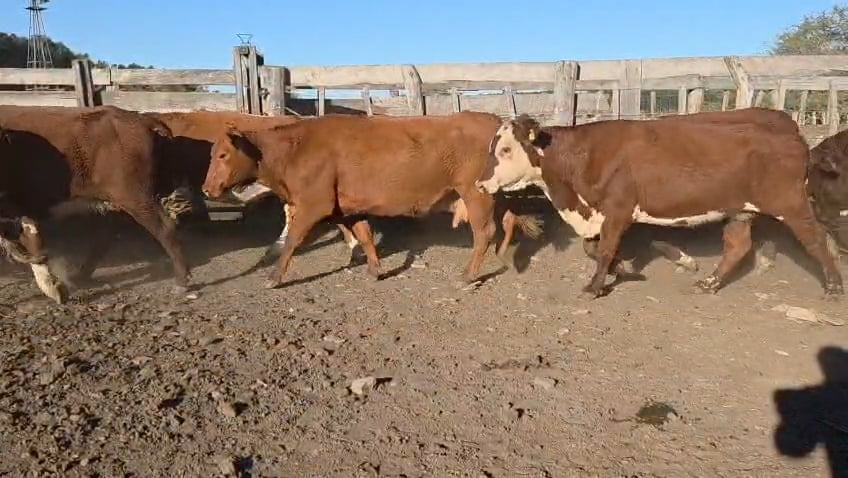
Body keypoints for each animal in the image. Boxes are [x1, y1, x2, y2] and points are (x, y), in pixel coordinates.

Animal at [0, 105, 190, 302]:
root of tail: (141, 119)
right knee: (107, 235)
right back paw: (81, 276)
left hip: (135, 198)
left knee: (164, 228)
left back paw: (181, 281)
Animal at [201, 111, 542, 288]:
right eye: (212, 153)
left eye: (223, 154)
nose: (207, 188)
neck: (295, 148)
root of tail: (495, 121)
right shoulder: (349, 207)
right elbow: (364, 235)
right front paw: (376, 270)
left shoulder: (313, 204)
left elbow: (293, 240)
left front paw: (273, 277)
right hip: (491, 191)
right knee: (508, 218)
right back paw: (502, 255)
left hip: (474, 193)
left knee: (484, 232)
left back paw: (468, 275)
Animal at [475, 114, 843, 298]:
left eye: (506, 149)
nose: (481, 183)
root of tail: (794, 136)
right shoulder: (601, 213)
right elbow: (593, 249)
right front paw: (624, 270)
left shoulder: (618, 209)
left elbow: (604, 250)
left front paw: (595, 286)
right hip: (741, 210)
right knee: (737, 246)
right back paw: (709, 284)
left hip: (791, 204)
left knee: (815, 240)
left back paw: (834, 286)